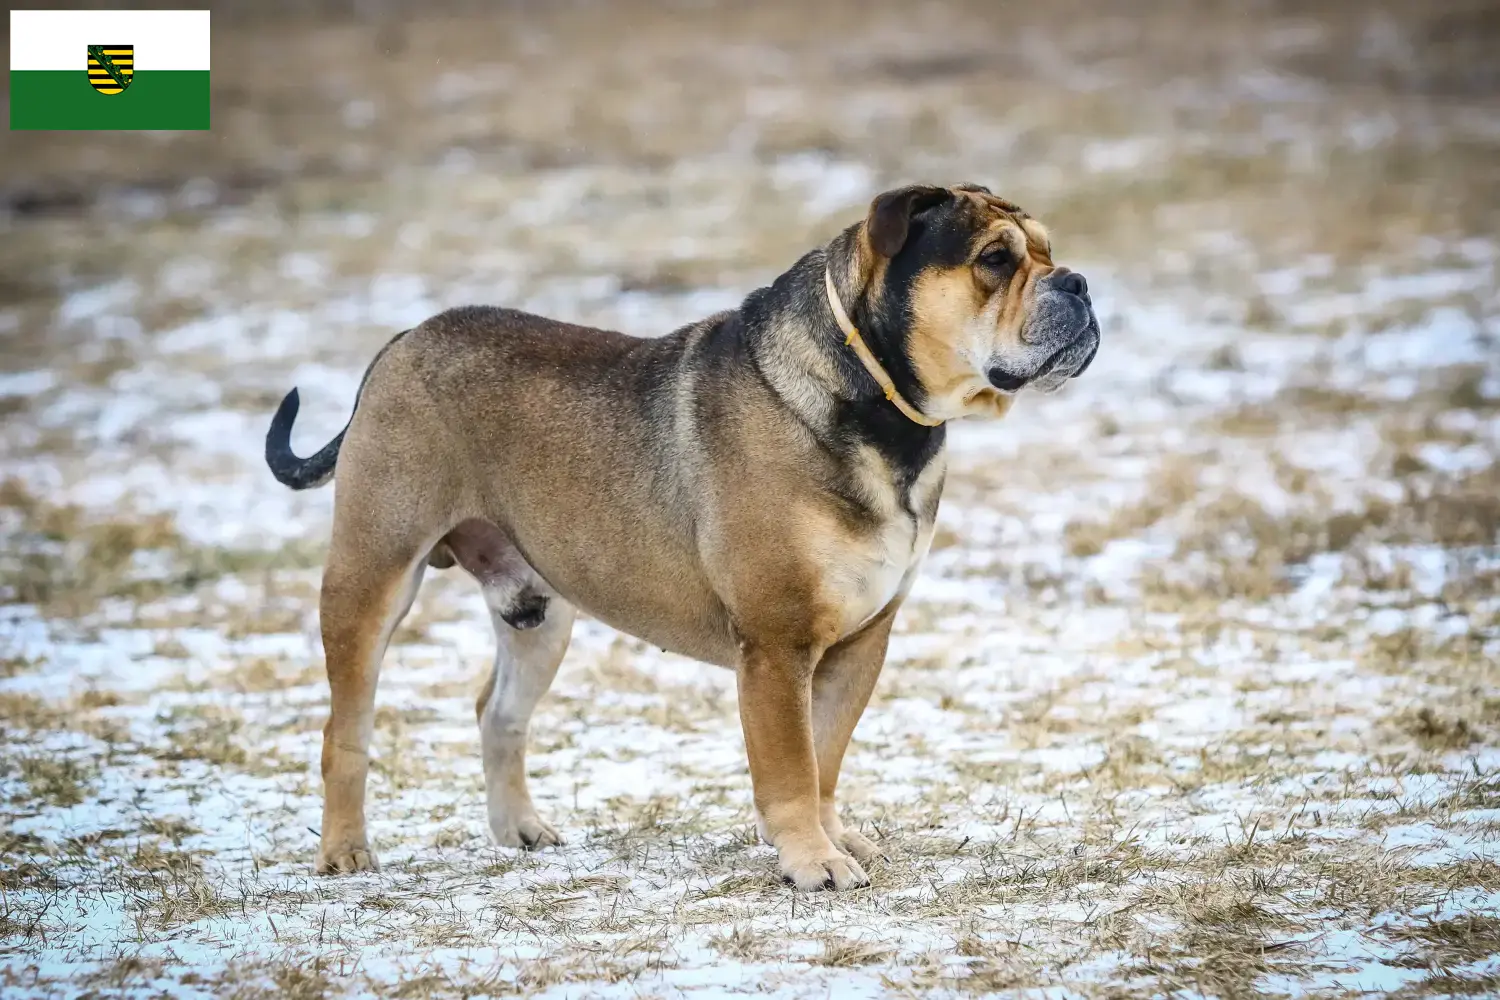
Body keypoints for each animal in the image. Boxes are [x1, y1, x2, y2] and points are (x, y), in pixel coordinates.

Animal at [264, 183, 1098, 893]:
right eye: (995, 259)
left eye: (1048, 250)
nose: (1081, 284)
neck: (879, 405)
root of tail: (401, 341)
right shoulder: (776, 647)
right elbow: (792, 767)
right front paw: (812, 861)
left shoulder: (862, 641)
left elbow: (826, 757)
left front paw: (835, 837)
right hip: (374, 572)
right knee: (345, 727)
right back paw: (345, 852)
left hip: (540, 611)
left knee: (497, 714)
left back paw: (521, 830)